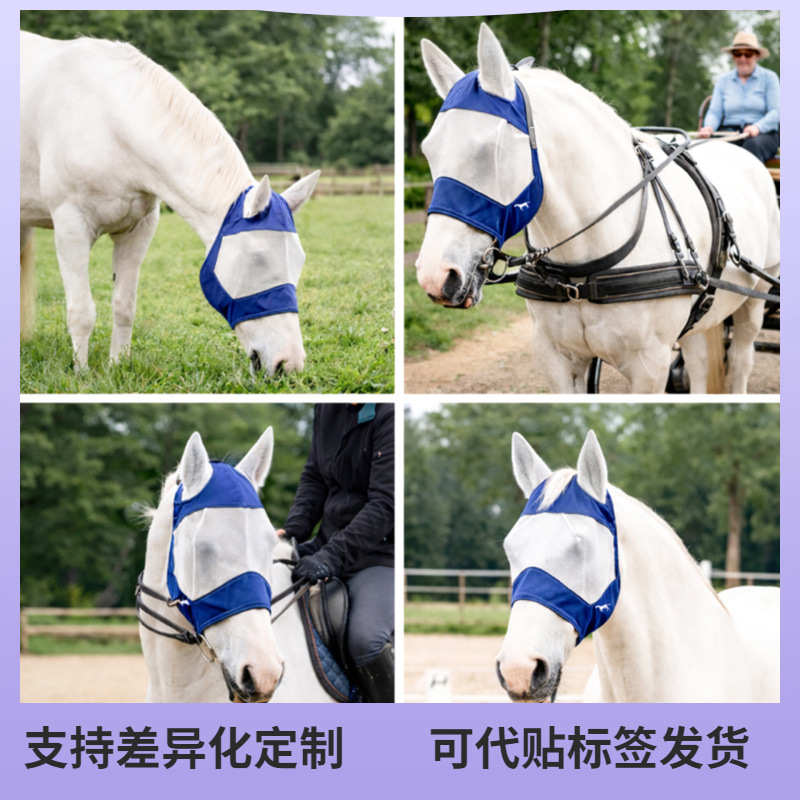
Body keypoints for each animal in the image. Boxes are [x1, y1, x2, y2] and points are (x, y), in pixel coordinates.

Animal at [20, 32, 320, 376]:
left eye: (299, 261)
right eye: (258, 259)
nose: (290, 364)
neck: (107, 119)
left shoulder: (138, 230)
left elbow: (124, 306)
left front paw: (117, 366)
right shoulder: (71, 228)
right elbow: (81, 312)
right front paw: (82, 375)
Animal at [416, 24, 780, 393]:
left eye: (489, 149)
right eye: (428, 150)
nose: (435, 275)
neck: (581, 269)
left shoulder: (651, 365)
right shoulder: (556, 359)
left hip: (755, 299)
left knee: (741, 359)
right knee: (700, 363)